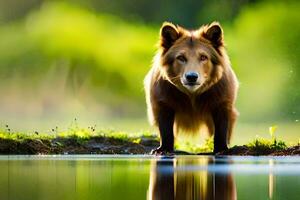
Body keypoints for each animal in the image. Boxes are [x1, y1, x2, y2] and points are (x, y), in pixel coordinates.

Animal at [144, 21, 238, 154]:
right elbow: (166, 130)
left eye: (203, 57)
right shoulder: (163, 103)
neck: (192, 96)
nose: (192, 77)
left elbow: (221, 130)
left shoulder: (221, 102)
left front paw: (222, 149)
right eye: (181, 57)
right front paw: (163, 149)